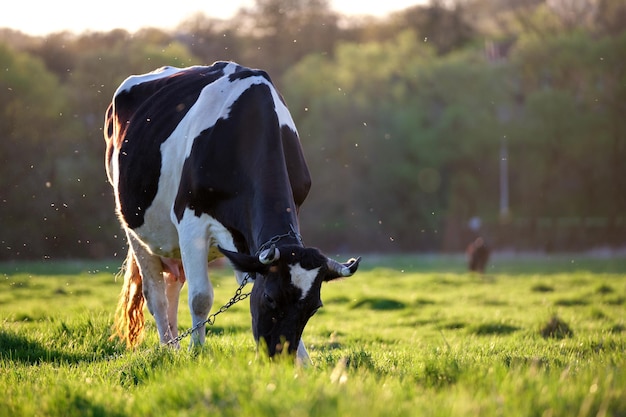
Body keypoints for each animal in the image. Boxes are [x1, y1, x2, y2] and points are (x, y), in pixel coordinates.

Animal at [105, 60, 360, 362]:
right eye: (270, 298)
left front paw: (304, 362)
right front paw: (197, 352)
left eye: (313, 307)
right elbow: (200, 297)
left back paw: (175, 347)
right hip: (133, 226)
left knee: (173, 286)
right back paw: (169, 349)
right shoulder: (190, 221)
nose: (279, 357)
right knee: (155, 295)